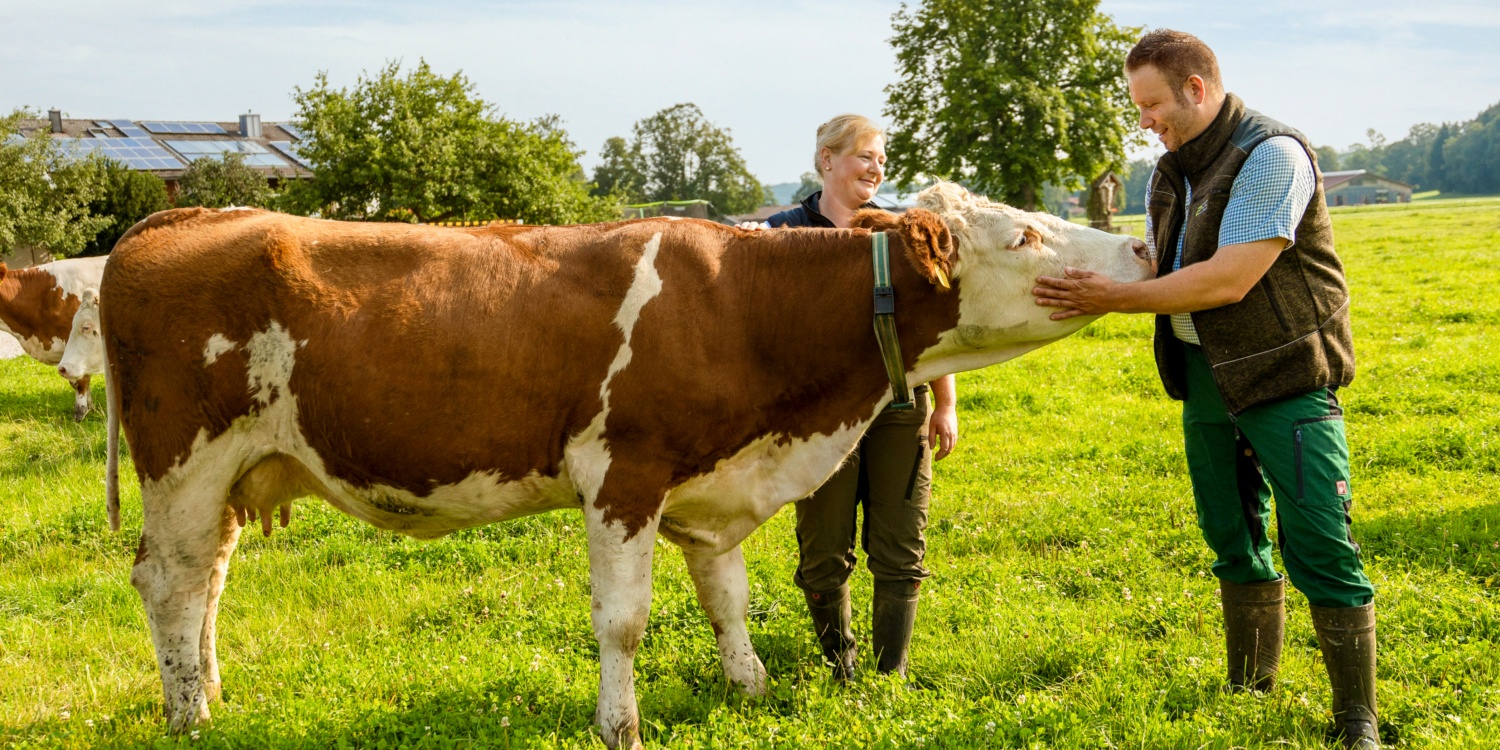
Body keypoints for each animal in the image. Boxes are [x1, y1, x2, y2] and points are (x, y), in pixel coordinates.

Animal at [98, 182, 1152, 748]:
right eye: (1024, 234)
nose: (1142, 250)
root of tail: (183, 218)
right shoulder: (623, 476)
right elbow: (625, 622)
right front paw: (622, 724)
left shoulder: (710, 486)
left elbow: (727, 596)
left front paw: (749, 687)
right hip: (183, 464)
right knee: (168, 581)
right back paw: (189, 715)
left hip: (236, 473)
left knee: (208, 579)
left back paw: (210, 689)